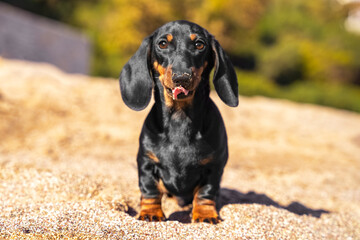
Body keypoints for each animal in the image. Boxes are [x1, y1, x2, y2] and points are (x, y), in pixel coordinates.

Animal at [119, 20, 239, 223]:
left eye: (199, 44)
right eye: (162, 44)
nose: (181, 77)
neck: (179, 118)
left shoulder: (214, 167)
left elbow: (206, 192)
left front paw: (205, 215)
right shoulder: (146, 162)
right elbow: (150, 190)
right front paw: (151, 213)